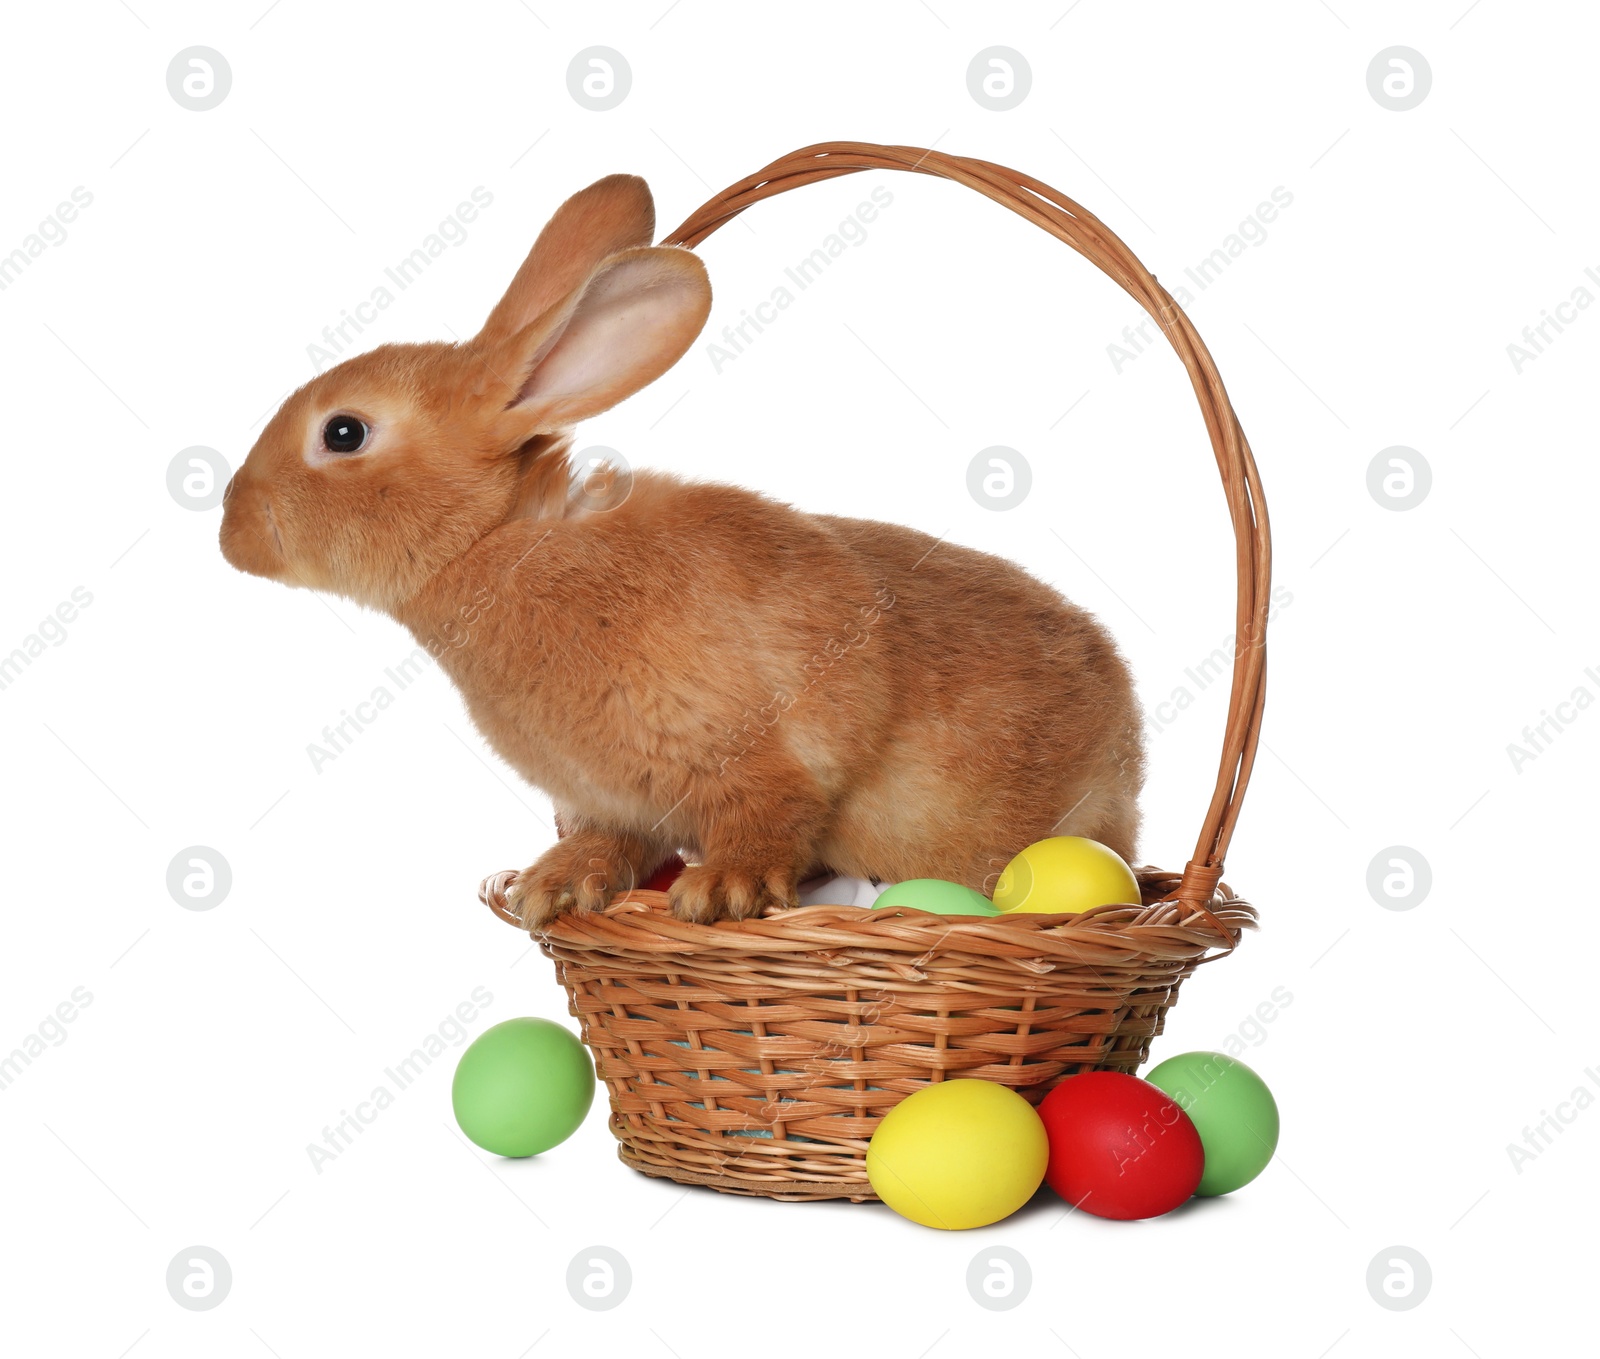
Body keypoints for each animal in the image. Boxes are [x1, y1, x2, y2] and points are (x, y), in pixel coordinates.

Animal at [225, 169, 1145, 928]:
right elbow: (615, 842)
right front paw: (555, 885)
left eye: (344, 432)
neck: (497, 546)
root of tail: (1127, 737)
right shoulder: (616, 802)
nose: (231, 529)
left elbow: (770, 815)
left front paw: (723, 892)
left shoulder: (767, 751)